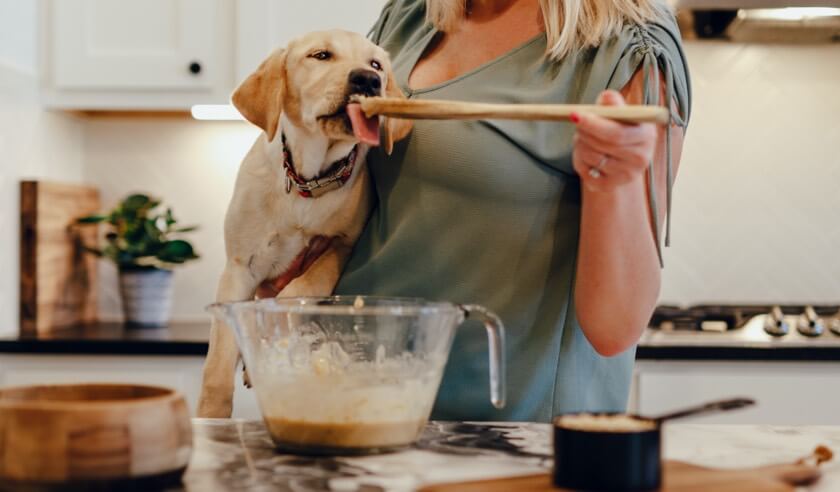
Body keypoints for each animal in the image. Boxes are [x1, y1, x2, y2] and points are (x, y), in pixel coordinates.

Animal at [201, 28, 416, 418]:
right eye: (321, 55)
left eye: (376, 64)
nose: (368, 79)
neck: (309, 181)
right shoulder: (238, 268)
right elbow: (218, 363)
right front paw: (209, 416)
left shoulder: (341, 245)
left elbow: (303, 286)